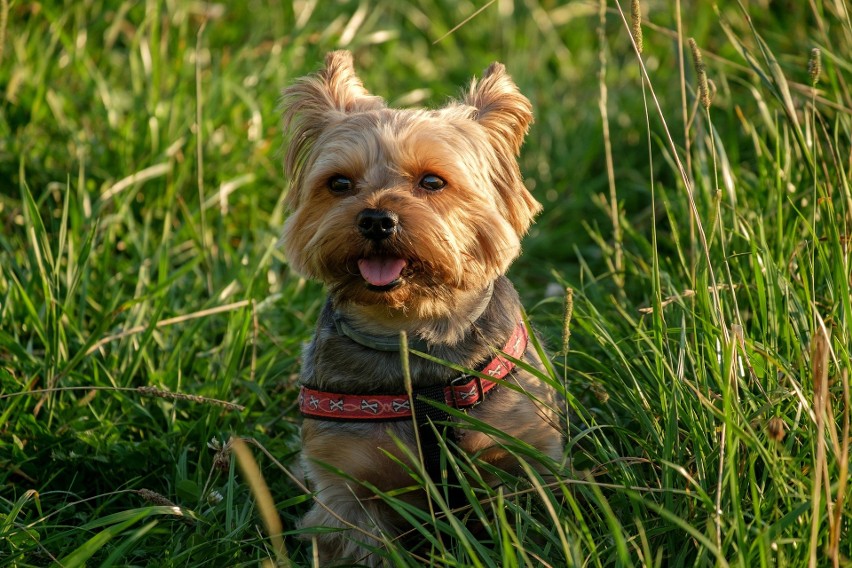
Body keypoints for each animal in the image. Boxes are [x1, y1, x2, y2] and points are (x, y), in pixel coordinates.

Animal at [282, 51, 564, 564]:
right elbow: (361, 542)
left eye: (433, 181)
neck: (413, 332)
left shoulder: (524, 455)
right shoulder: (346, 487)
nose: (376, 219)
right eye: (339, 183)